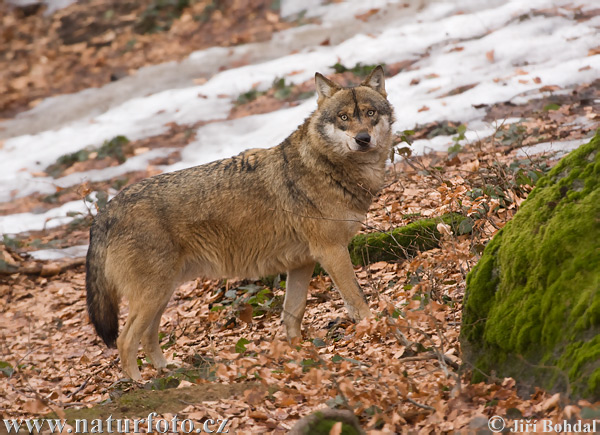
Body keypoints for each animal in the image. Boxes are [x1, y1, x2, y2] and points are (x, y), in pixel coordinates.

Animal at [84, 65, 394, 382]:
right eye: (343, 117)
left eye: (369, 113)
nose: (363, 139)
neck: (326, 166)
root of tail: (105, 212)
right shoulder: (331, 252)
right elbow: (357, 299)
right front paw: (376, 327)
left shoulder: (303, 263)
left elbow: (293, 312)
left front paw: (299, 350)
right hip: (153, 294)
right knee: (125, 340)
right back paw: (141, 383)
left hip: (162, 293)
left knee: (147, 336)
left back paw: (169, 371)